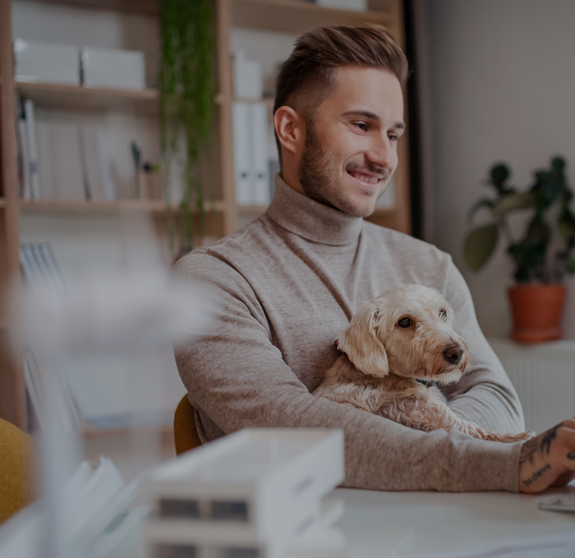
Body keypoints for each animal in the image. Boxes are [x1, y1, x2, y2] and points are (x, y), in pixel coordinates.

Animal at [316, 286, 536, 444]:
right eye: (404, 322)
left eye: (442, 313)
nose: (457, 353)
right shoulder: (435, 413)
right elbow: (479, 431)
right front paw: (520, 438)